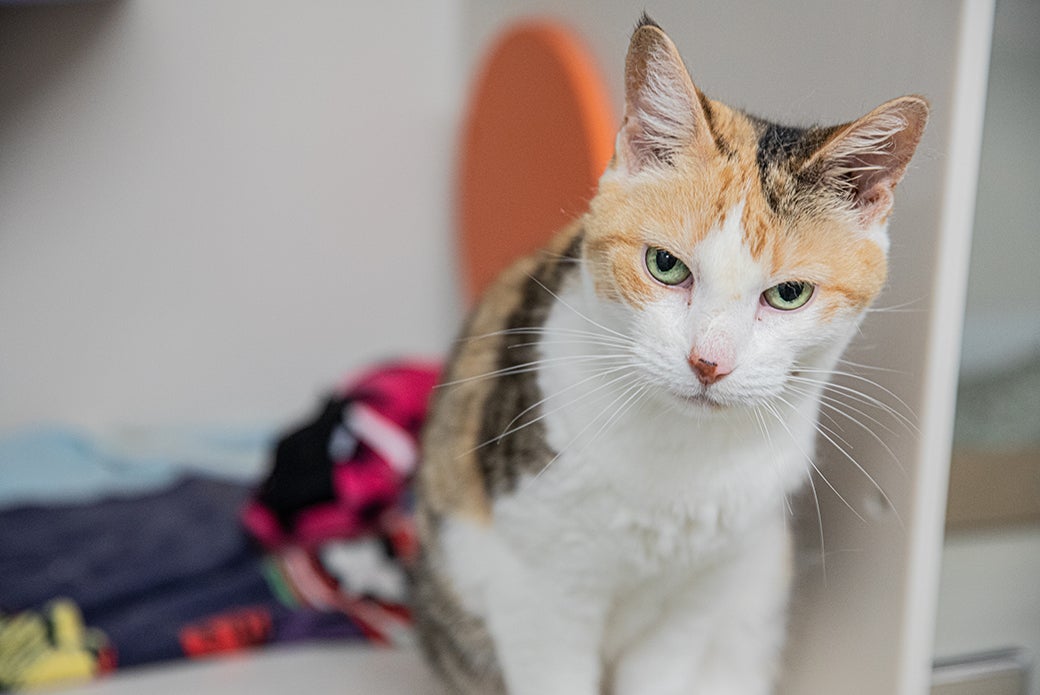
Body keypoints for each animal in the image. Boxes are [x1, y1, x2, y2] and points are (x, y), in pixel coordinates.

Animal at [412, 15, 927, 695]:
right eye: (665, 264)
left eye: (789, 294)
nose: (709, 362)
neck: (679, 469)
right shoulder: (541, 596)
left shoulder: (696, 603)